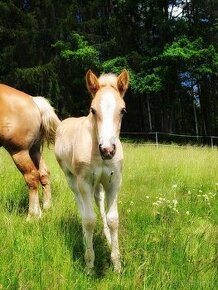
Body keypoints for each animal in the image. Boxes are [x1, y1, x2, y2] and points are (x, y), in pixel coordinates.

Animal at [0, 84, 60, 220]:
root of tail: (34, 101)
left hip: (19, 151)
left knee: (32, 177)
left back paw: (33, 215)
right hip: (34, 150)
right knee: (44, 173)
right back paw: (47, 208)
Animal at [55, 69, 129, 274]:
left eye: (123, 110)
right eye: (93, 110)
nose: (108, 150)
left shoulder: (114, 182)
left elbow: (113, 219)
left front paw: (117, 264)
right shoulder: (85, 181)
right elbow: (89, 220)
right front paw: (89, 265)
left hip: (99, 185)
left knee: (99, 202)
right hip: (72, 179)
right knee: (80, 204)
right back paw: (82, 236)